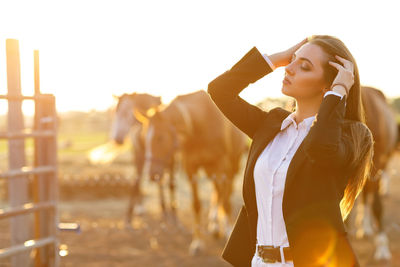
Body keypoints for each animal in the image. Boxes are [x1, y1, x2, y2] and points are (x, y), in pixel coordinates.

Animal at [138, 91, 250, 256]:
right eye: (144, 138)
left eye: (161, 137)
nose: (152, 174)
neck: (199, 126)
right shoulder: (191, 169)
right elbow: (196, 205)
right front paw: (197, 242)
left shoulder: (221, 165)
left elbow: (225, 200)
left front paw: (229, 231)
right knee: (217, 192)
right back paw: (214, 224)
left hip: (231, 166)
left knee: (225, 193)